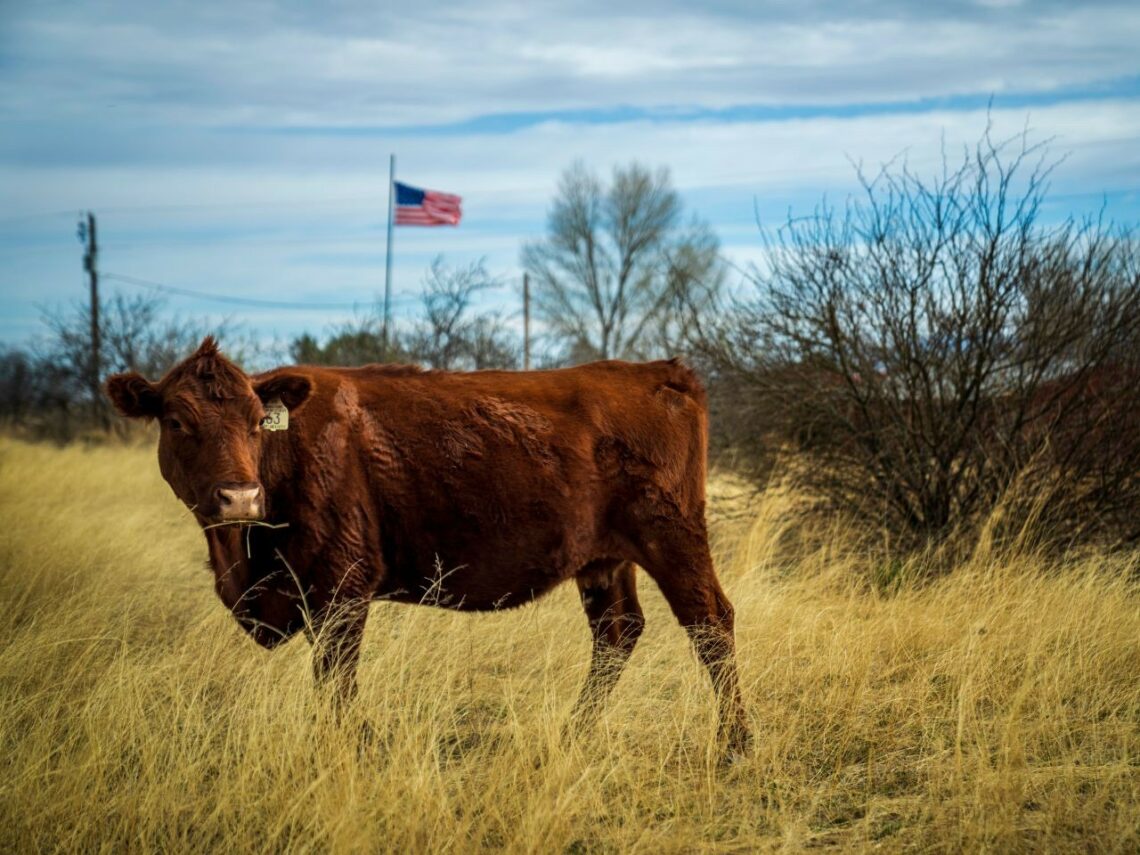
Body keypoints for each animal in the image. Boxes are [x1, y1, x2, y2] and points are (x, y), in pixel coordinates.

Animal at [106, 337, 750, 759]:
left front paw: (354, 747)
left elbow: (336, 679)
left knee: (710, 621)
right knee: (617, 631)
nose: (239, 496)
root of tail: (661, 372)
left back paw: (736, 744)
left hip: (673, 537)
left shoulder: (342, 589)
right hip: (604, 561)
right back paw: (573, 734)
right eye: (176, 421)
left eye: (256, 420)